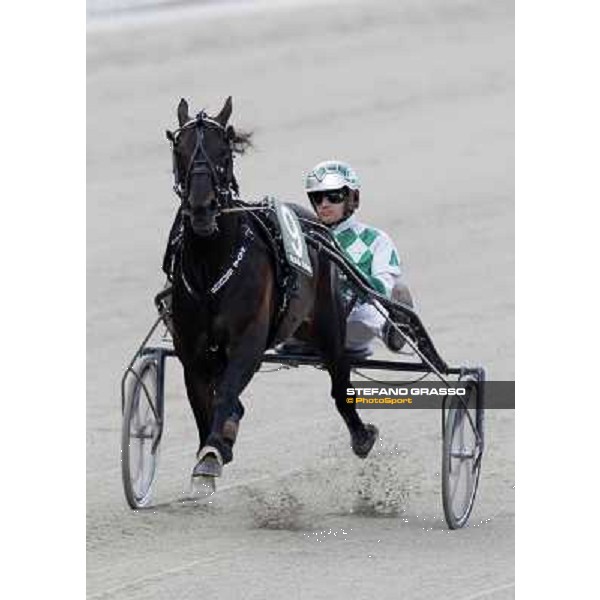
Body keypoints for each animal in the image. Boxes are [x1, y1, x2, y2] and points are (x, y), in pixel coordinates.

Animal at [166, 96, 378, 486]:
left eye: (224, 151)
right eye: (179, 149)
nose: (202, 207)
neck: (210, 268)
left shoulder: (248, 341)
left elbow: (226, 391)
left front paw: (212, 452)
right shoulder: (193, 352)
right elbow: (204, 403)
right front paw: (214, 449)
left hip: (328, 321)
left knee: (339, 383)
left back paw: (362, 435)